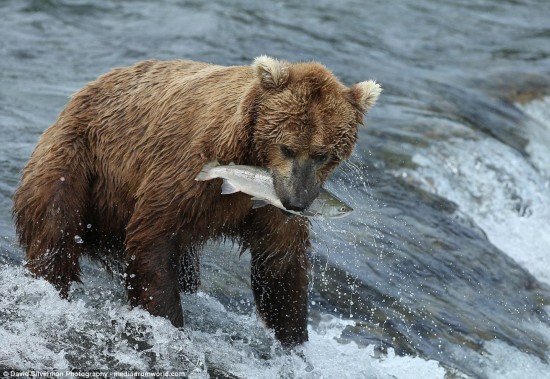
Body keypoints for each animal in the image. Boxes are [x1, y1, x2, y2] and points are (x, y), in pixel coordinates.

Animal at [14, 55, 384, 348]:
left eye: (323, 154)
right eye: (288, 148)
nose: (296, 203)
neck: (250, 157)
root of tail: (88, 87)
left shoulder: (271, 204)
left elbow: (280, 263)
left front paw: (294, 339)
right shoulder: (187, 170)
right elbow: (154, 238)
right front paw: (169, 323)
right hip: (78, 158)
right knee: (55, 229)